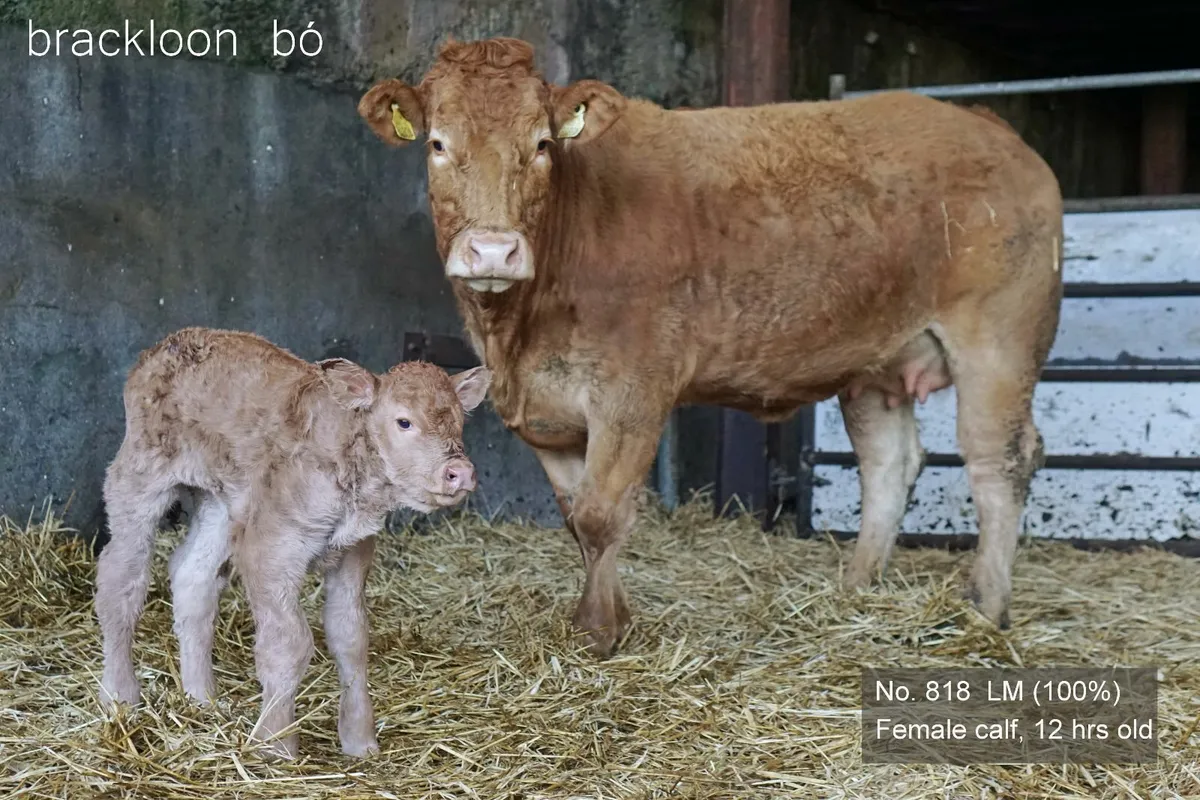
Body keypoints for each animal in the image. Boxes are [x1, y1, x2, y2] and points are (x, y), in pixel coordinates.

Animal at [95, 327, 491, 757]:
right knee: (121, 580)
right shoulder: (271, 547)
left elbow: (351, 638)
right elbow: (289, 643)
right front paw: (275, 743)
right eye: (403, 421)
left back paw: (202, 698)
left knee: (193, 578)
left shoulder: (354, 550)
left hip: (221, 504)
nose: (459, 471)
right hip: (140, 477)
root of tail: (171, 343)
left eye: (459, 422)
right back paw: (120, 696)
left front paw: (360, 740)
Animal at [357, 37, 1063, 657]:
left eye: (541, 144)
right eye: (438, 143)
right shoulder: (548, 415)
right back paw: (857, 586)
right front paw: (608, 617)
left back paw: (986, 608)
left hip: (999, 339)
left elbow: (602, 514)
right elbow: (575, 516)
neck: (518, 334)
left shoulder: (632, 394)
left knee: (1000, 460)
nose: (493, 251)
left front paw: (600, 632)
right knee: (890, 462)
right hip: (877, 361)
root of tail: (987, 125)